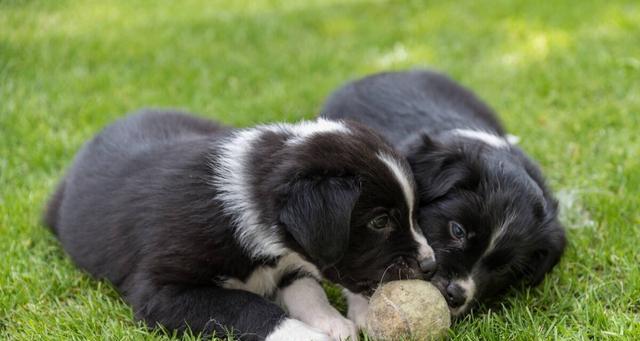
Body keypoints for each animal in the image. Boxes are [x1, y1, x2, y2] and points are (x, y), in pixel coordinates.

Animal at [43, 110, 436, 338]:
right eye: (380, 221)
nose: (431, 265)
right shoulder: (160, 292)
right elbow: (248, 306)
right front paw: (313, 335)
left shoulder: (291, 263)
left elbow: (307, 289)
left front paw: (333, 322)